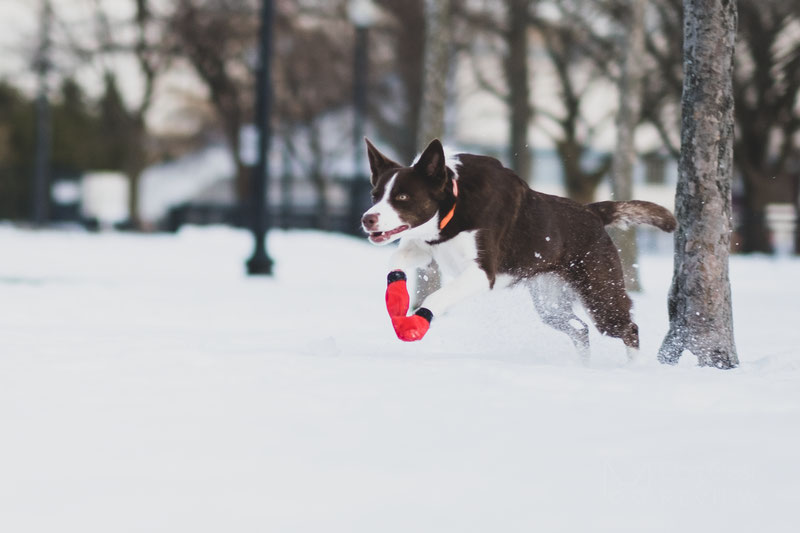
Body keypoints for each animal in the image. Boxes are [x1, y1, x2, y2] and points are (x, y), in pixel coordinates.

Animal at [362, 137, 676, 358]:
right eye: (375, 194)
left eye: (403, 196)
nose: (367, 219)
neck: (453, 206)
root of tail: (593, 212)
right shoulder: (425, 247)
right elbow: (395, 260)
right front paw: (397, 301)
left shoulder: (482, 273)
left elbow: (437, 296)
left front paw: (415, 324)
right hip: (550, 302)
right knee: (580, 330)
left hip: (600, 292)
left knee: (628, 328)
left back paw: (633, 370)